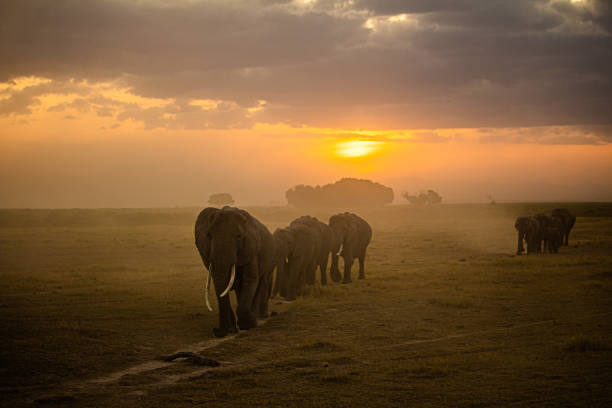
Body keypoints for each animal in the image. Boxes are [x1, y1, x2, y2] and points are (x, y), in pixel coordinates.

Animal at [195, 207, 274, 338]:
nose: (216, 331)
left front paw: (249, 325)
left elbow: (250, 279)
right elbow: (220, 283)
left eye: (238, 236)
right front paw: (232, 329)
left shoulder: (251, 249)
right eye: (209, 235)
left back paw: (258, 317)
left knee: (261, 282)